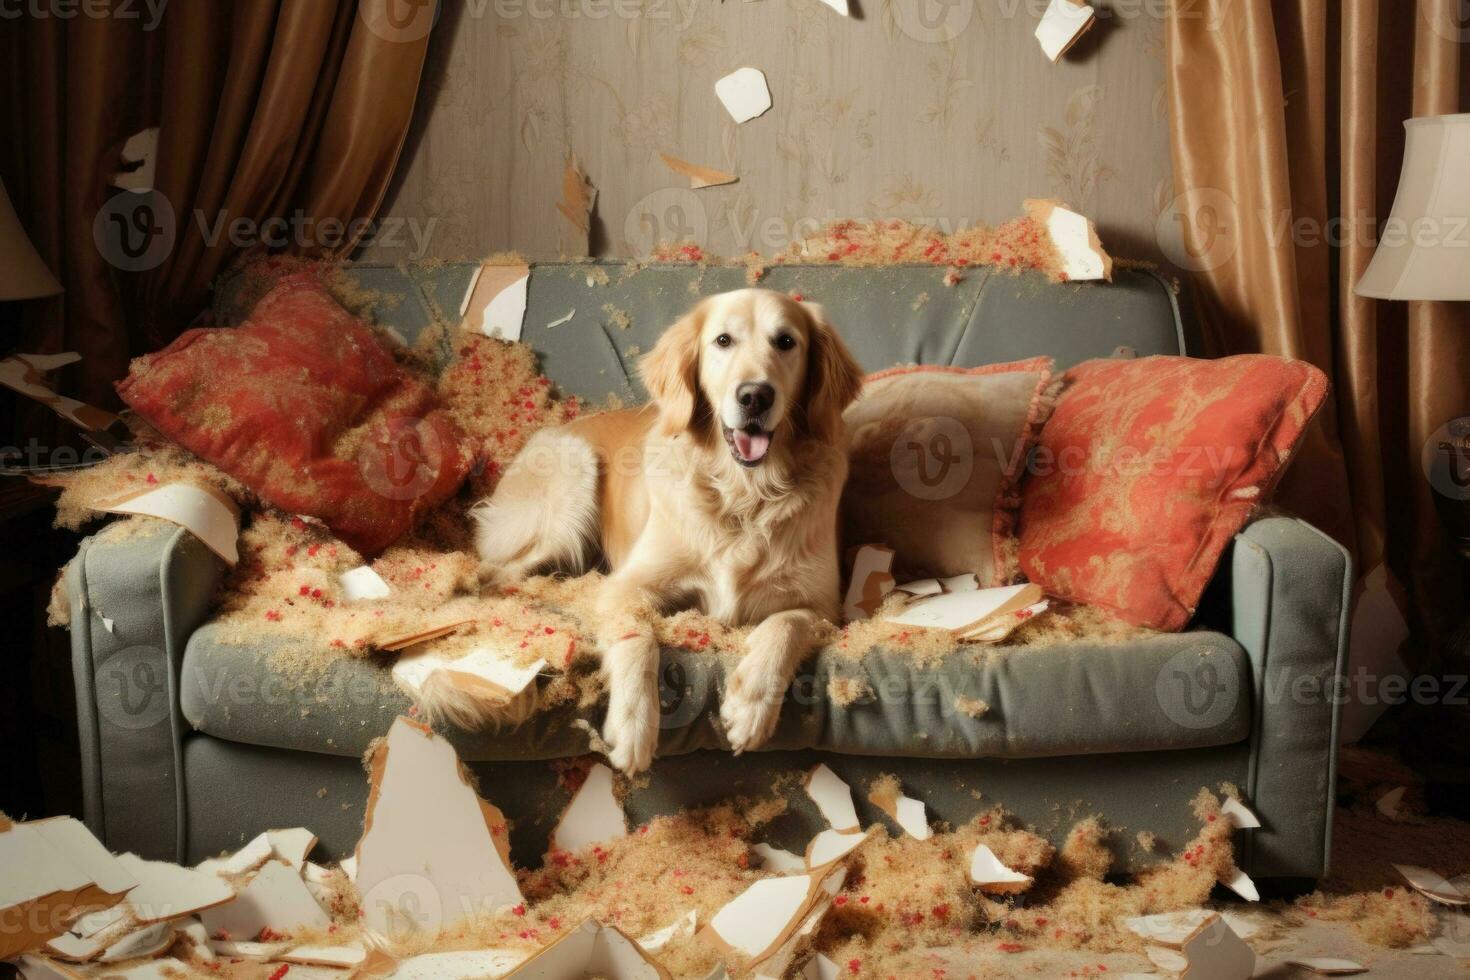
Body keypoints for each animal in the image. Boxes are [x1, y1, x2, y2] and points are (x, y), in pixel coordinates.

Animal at [467, 289, 858, 775]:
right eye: (723, 341)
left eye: (786, 341)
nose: (754, 396)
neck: (744, 495)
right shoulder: (627, 585)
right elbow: (639, 636)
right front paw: (634, 726)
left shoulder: (824, 606)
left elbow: (785, 624)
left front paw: (751, 704)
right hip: (574, 475)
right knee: (497, 572)